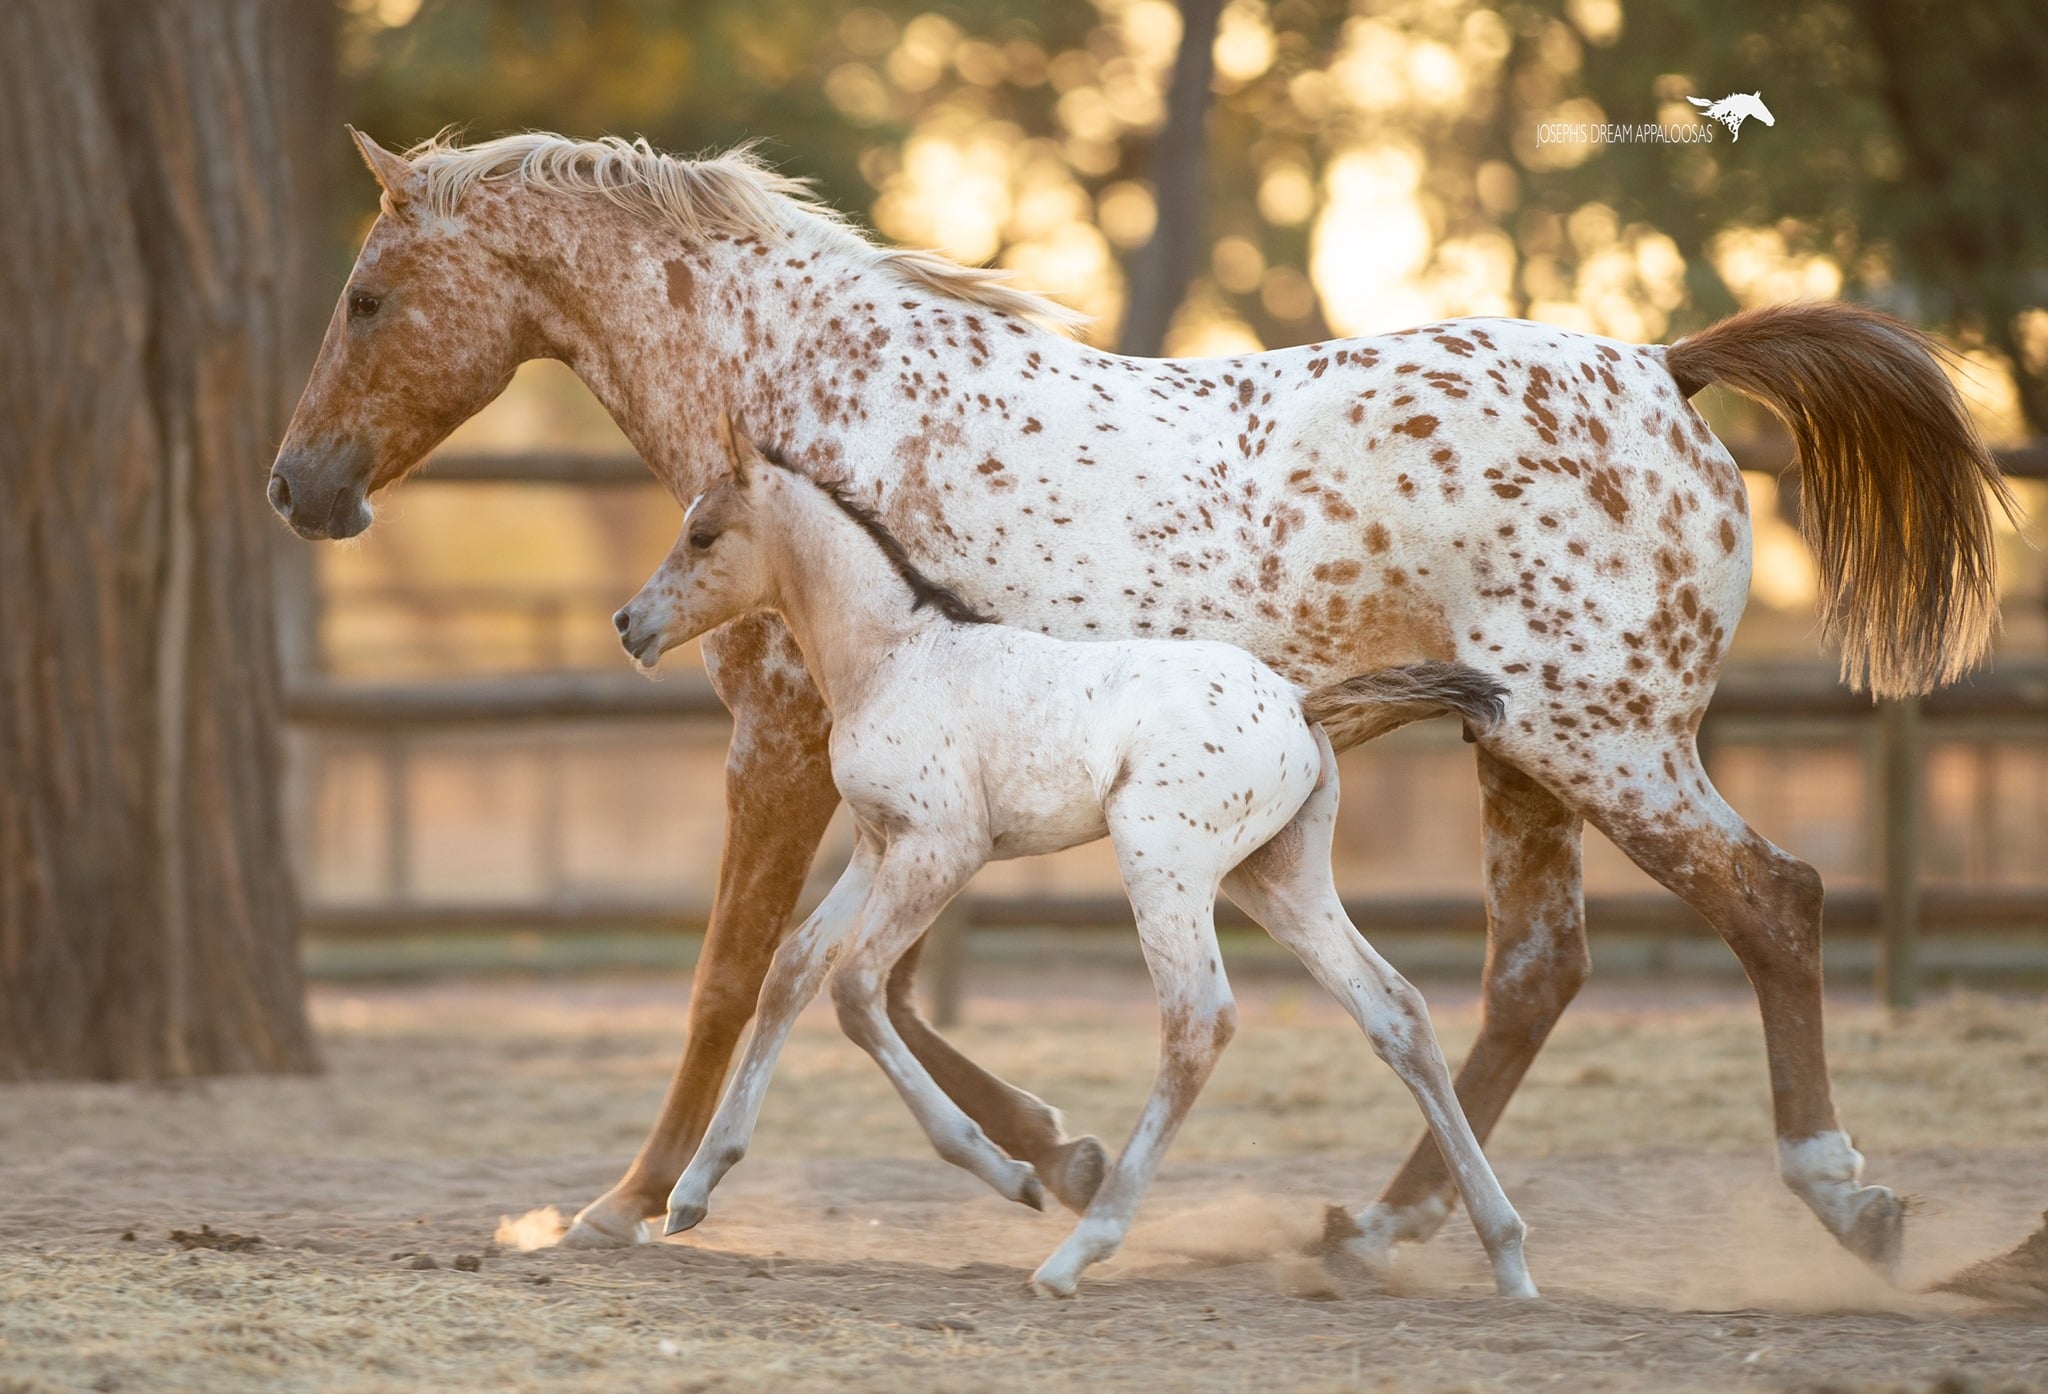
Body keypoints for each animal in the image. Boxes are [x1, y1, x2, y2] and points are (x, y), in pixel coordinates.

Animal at [610, 411, 1540, 1293]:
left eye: (704, 534)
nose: (628, 624)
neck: (895, 658)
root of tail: (1297, 702)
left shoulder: (944, 849)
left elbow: (856, 989)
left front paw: (1012, 1172)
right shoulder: (879, 846)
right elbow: (793, 969)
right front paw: (693, 1191)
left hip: (1162, 864)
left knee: (1198, 1021)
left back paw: (1077, 1251)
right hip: (1277, 879)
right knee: (1394, 1009)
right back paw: (1504, 1255)